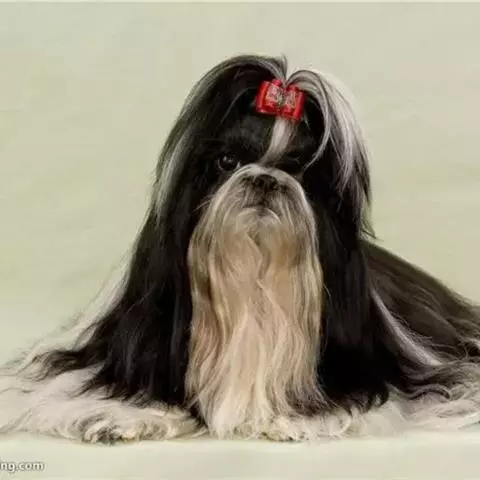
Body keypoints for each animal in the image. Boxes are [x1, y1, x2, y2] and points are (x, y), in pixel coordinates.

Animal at [1, 54, 479, 443]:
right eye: (227, 162)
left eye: (300, 171)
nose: (265, 179)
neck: (252, 276)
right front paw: (122, 417)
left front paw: (297, 418)